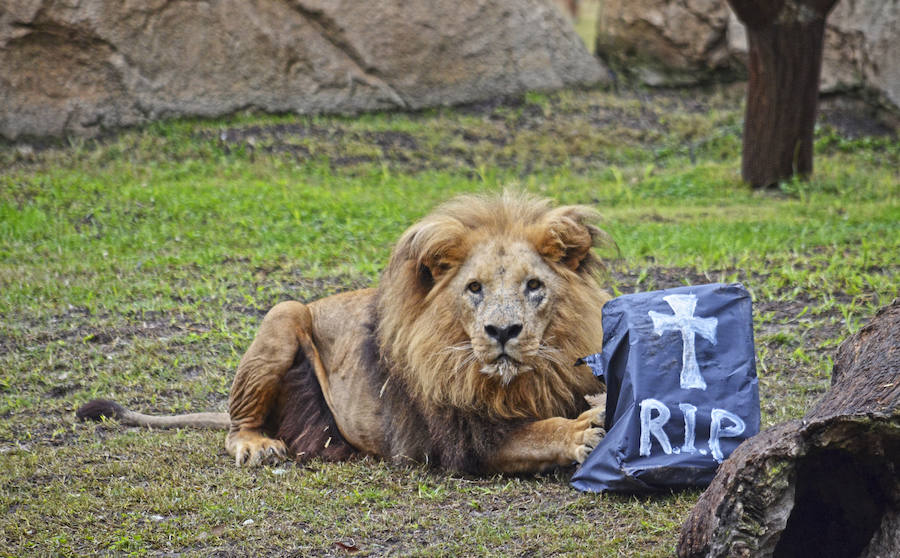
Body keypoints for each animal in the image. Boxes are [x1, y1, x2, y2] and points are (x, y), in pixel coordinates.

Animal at [79, 192, 612, 476]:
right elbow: (529, 434)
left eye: (534, 286)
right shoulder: (454, 439)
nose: (502, 331)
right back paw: (257, 445)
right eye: (474, 288)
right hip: (284, 315)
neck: (517, 381)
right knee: (235, 426)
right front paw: (581, 432)